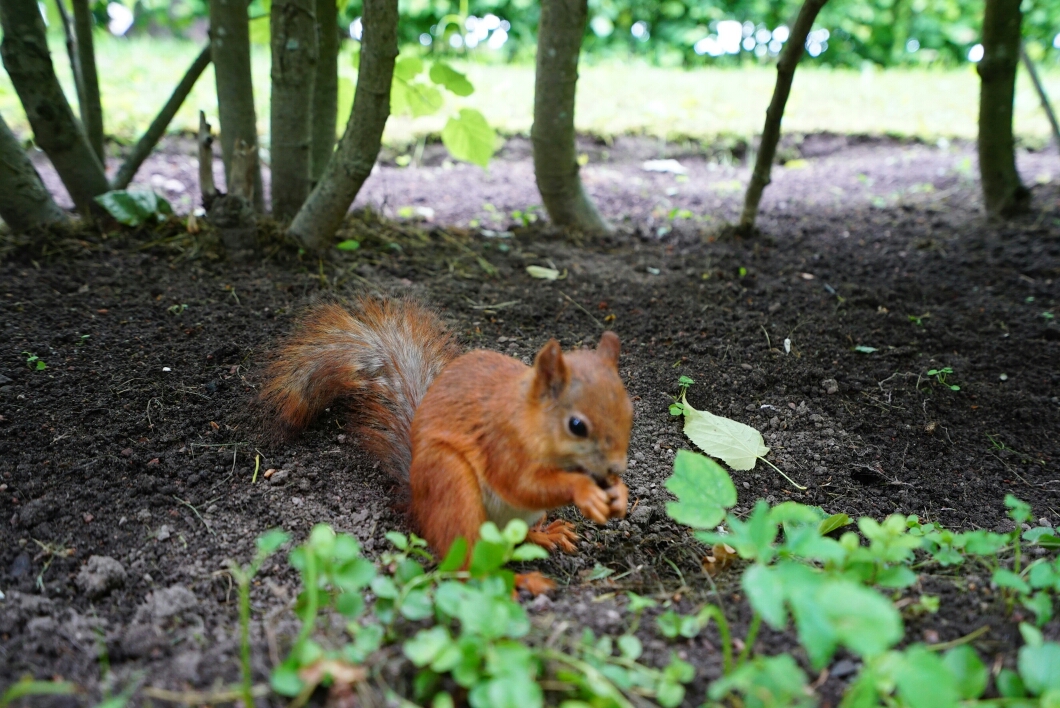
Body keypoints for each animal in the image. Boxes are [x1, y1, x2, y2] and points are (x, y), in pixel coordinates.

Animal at [260, 294, 631, 585]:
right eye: (576, 425)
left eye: (629, 410)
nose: (616, 468)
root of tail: (418, 505)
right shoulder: (501, 445)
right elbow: (523, 484)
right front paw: (584, 491)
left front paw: (619, 494)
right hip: (452, 486)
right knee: (469, 569)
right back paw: (521, 583)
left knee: (513, 540)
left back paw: (545, 534)